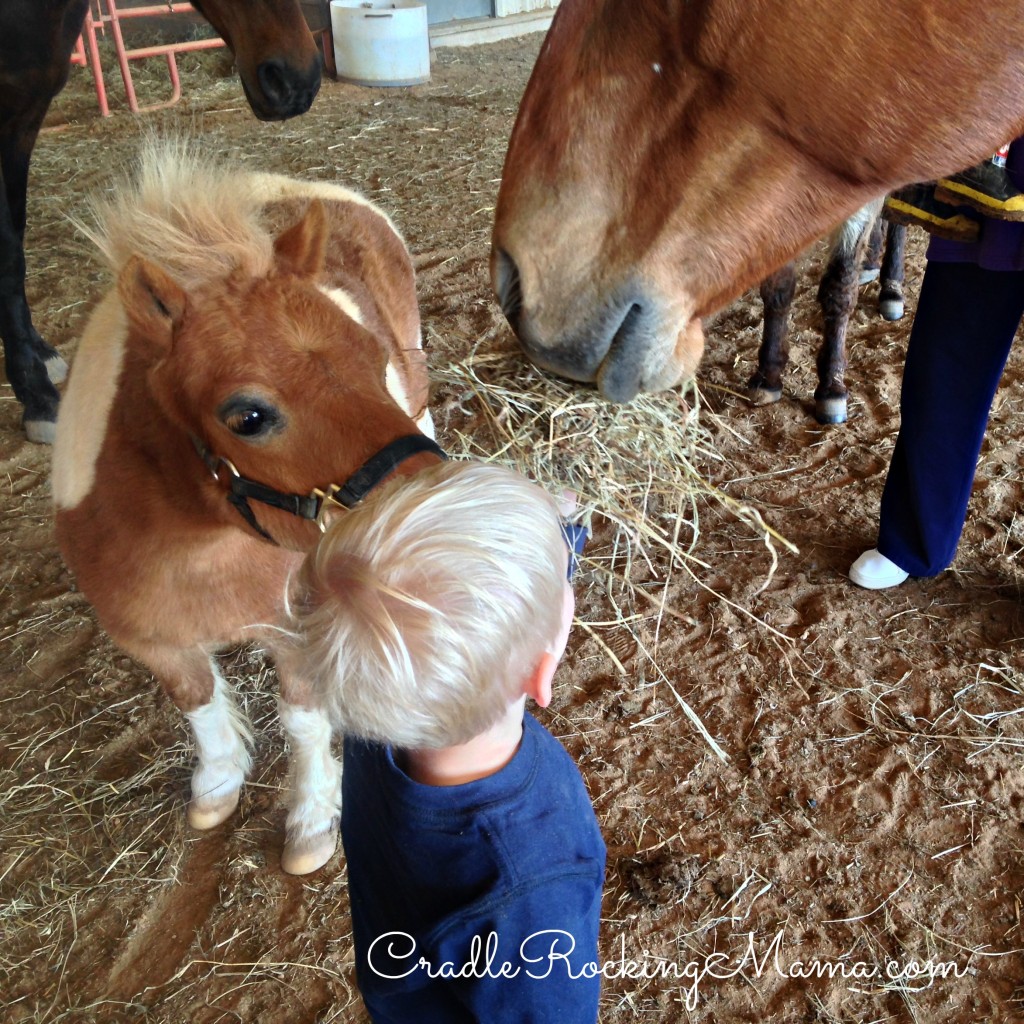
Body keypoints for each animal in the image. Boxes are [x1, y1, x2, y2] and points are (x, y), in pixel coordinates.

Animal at [52, 144, 440, 876]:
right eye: (248, 416)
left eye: (372, 357)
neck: (193, 553)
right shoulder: (150, 641)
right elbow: (198, 703)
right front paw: (218, 783)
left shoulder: (299, 629)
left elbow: (303, 720)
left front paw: (312, 819)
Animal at [491, 1, 1024, 407]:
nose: (515, 281)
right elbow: (779, 288)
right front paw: (769, 374)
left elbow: (840, 286)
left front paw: (831, 386)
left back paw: (890, 283)